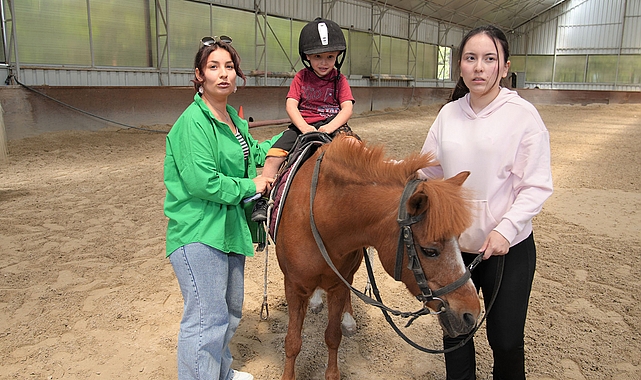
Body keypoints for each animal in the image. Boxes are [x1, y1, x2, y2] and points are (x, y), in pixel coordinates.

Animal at [276, 135, 480, 378]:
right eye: (430, 251)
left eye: (459, 239)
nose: (472, 314)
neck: (319, 214)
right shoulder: (293, 286)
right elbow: (292, 342)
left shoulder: (338, 285)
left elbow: (333, 336)